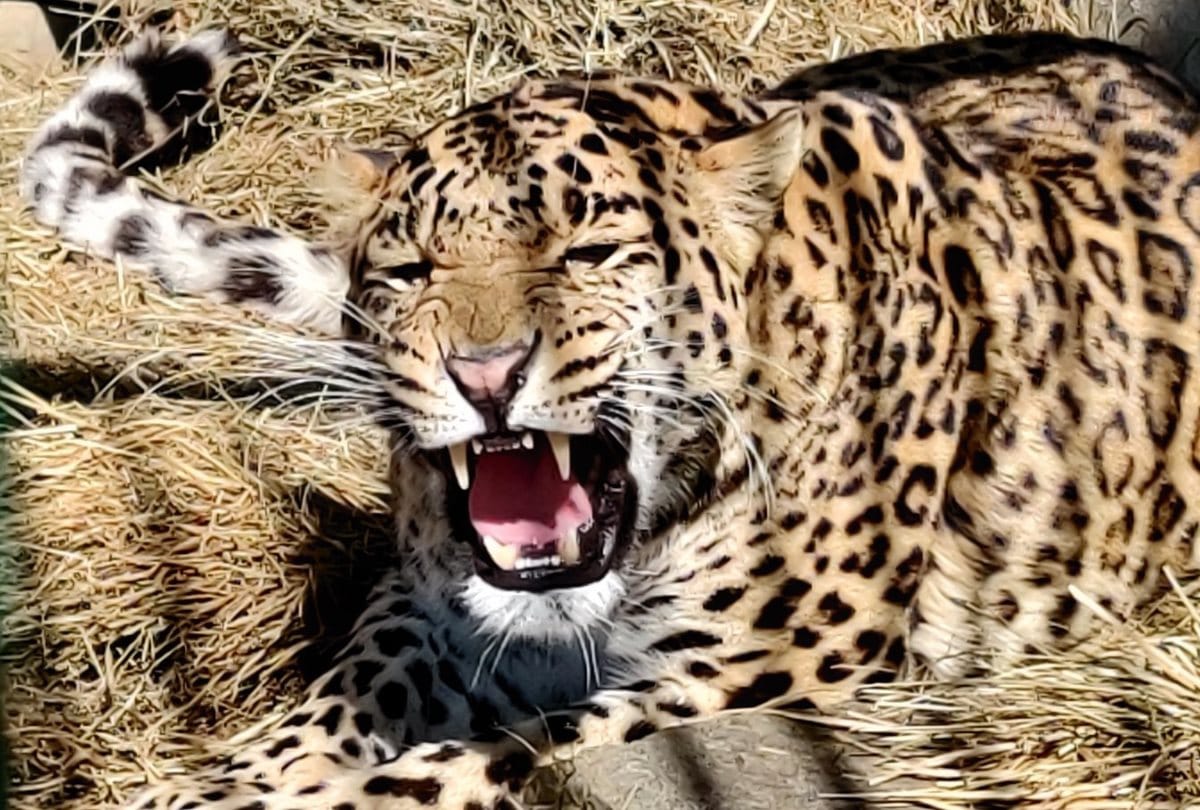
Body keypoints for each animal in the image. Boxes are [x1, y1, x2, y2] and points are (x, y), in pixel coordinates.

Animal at [18, 25, 1200, 810]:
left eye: (588, 254)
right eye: (409, 271)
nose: (485, 372)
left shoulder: (770, 668)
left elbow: (517, 743)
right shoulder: (423, 605)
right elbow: (344, 699)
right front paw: (212, 785)